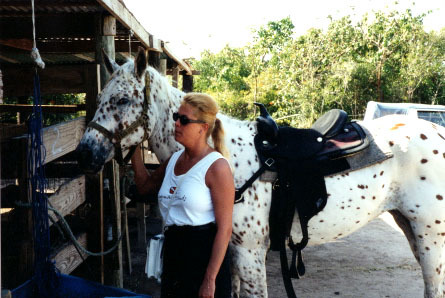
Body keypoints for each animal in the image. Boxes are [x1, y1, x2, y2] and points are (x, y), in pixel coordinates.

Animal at [76, 47, 444, 296]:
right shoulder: (234, 253)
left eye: (123, 100)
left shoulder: (250, 251)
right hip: (410, 227)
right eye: (102, 96)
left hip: (431, 235)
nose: (84, 154)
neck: (228, 159)